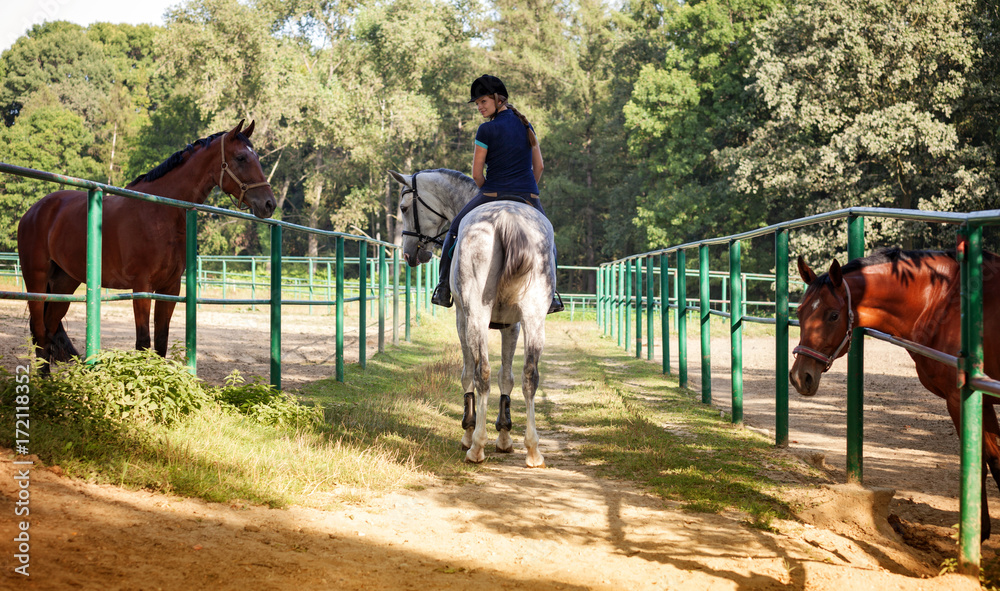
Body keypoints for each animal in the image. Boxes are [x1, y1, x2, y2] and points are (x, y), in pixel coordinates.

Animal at [18, 118, 278, 372]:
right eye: (241, 158)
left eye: (257, 157)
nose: (269, 204)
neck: (159, 210)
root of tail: (34, 211)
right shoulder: (142, 286)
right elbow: (143, 343)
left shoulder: (170, 288)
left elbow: (161, 342)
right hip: (36, 280)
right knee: (40, 331)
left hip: (65, 283)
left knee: (49, 330)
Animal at [388, 168, 556, 468]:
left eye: (404, 208)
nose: (409, 253)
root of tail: (507, 219)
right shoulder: (512, 324)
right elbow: (507, 378)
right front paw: (505, 437)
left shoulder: (461, 317)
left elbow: (467, 372)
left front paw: (469, 431)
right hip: (534, 316)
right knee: (529, 376)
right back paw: (533, 451)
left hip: (476, 314)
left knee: (482, 373)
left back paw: (476, 446)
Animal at [788, 250, 1000, 540]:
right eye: (799, 312)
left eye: (832, 315)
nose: (801, 377)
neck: (945, 302)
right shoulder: (984, 401)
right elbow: (995, 460)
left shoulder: (962, 400)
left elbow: (979, 463)